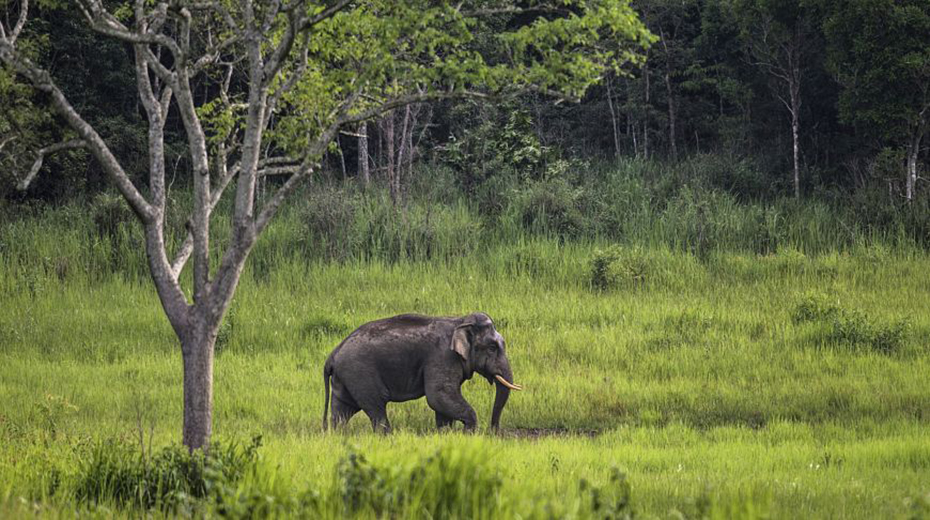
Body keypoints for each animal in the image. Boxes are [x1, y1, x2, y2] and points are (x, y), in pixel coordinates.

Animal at [322, 312, 520, 430]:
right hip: (359, 373)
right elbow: (438, 395)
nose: (493, 432)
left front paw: (447, 435)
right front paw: (468, 434)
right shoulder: (442, 356)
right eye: (492, 348)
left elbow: (442, 402)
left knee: (342, 409)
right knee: (375, 406)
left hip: (345, 378)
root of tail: (333, 354)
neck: (460, 320)